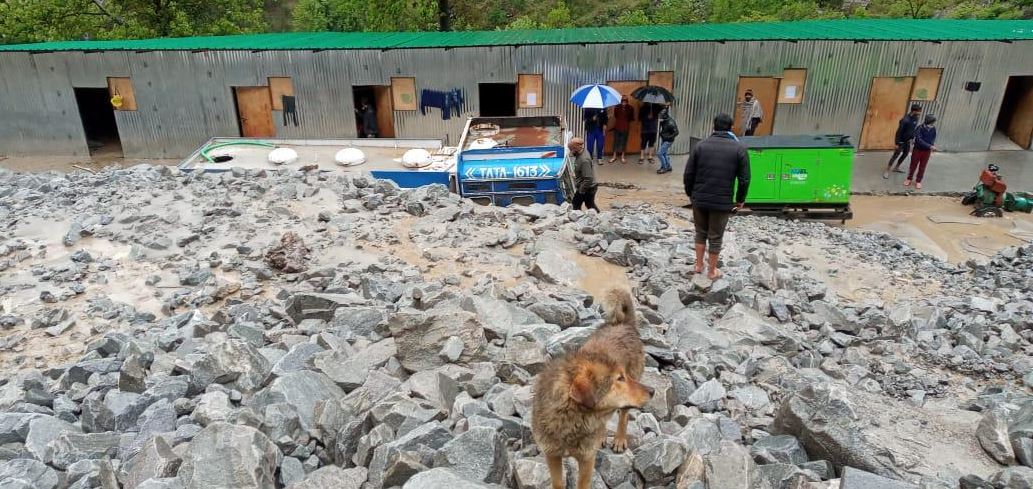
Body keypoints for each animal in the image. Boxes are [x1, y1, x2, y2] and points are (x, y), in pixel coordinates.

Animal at [533, 287, 652, 487]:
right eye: (619, 379)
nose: (653, 391)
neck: (571, 420)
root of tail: (624, 323)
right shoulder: (552, 454)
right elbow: (558, 483)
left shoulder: (587, 459)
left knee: (624, 416)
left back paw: (619, 439)